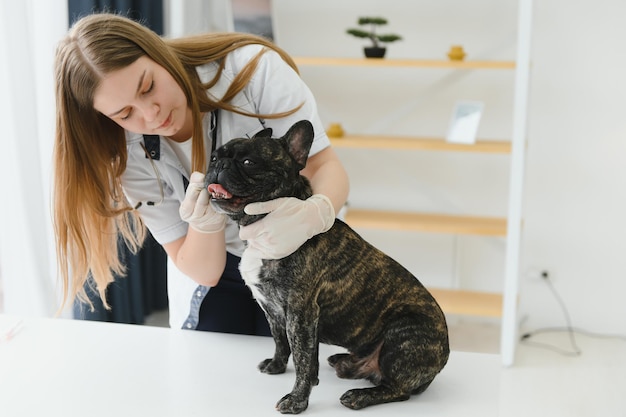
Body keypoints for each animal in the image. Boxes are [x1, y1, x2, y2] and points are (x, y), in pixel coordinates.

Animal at [205, 120, 448, 412]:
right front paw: (277, 366)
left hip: (403, 335)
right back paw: (345, 363)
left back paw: (359, 396)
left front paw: (297, 400)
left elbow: (302, 360)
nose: (217, 164)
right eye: (214, 156)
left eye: (248, 162)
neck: (264, 227)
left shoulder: (301, 314)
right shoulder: (275, 312)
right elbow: (282, 343)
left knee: (397, 389)